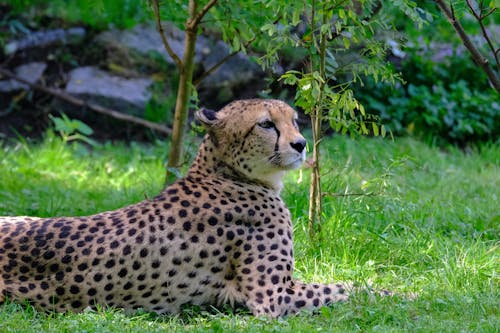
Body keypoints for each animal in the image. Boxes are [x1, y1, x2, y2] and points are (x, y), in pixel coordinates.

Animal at [0, 98, 352, 316]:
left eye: (294, 120)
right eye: (266, 124)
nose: (301, 144)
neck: (226, 172)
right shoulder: (272, 299)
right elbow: (347, 290)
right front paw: (366, 292)